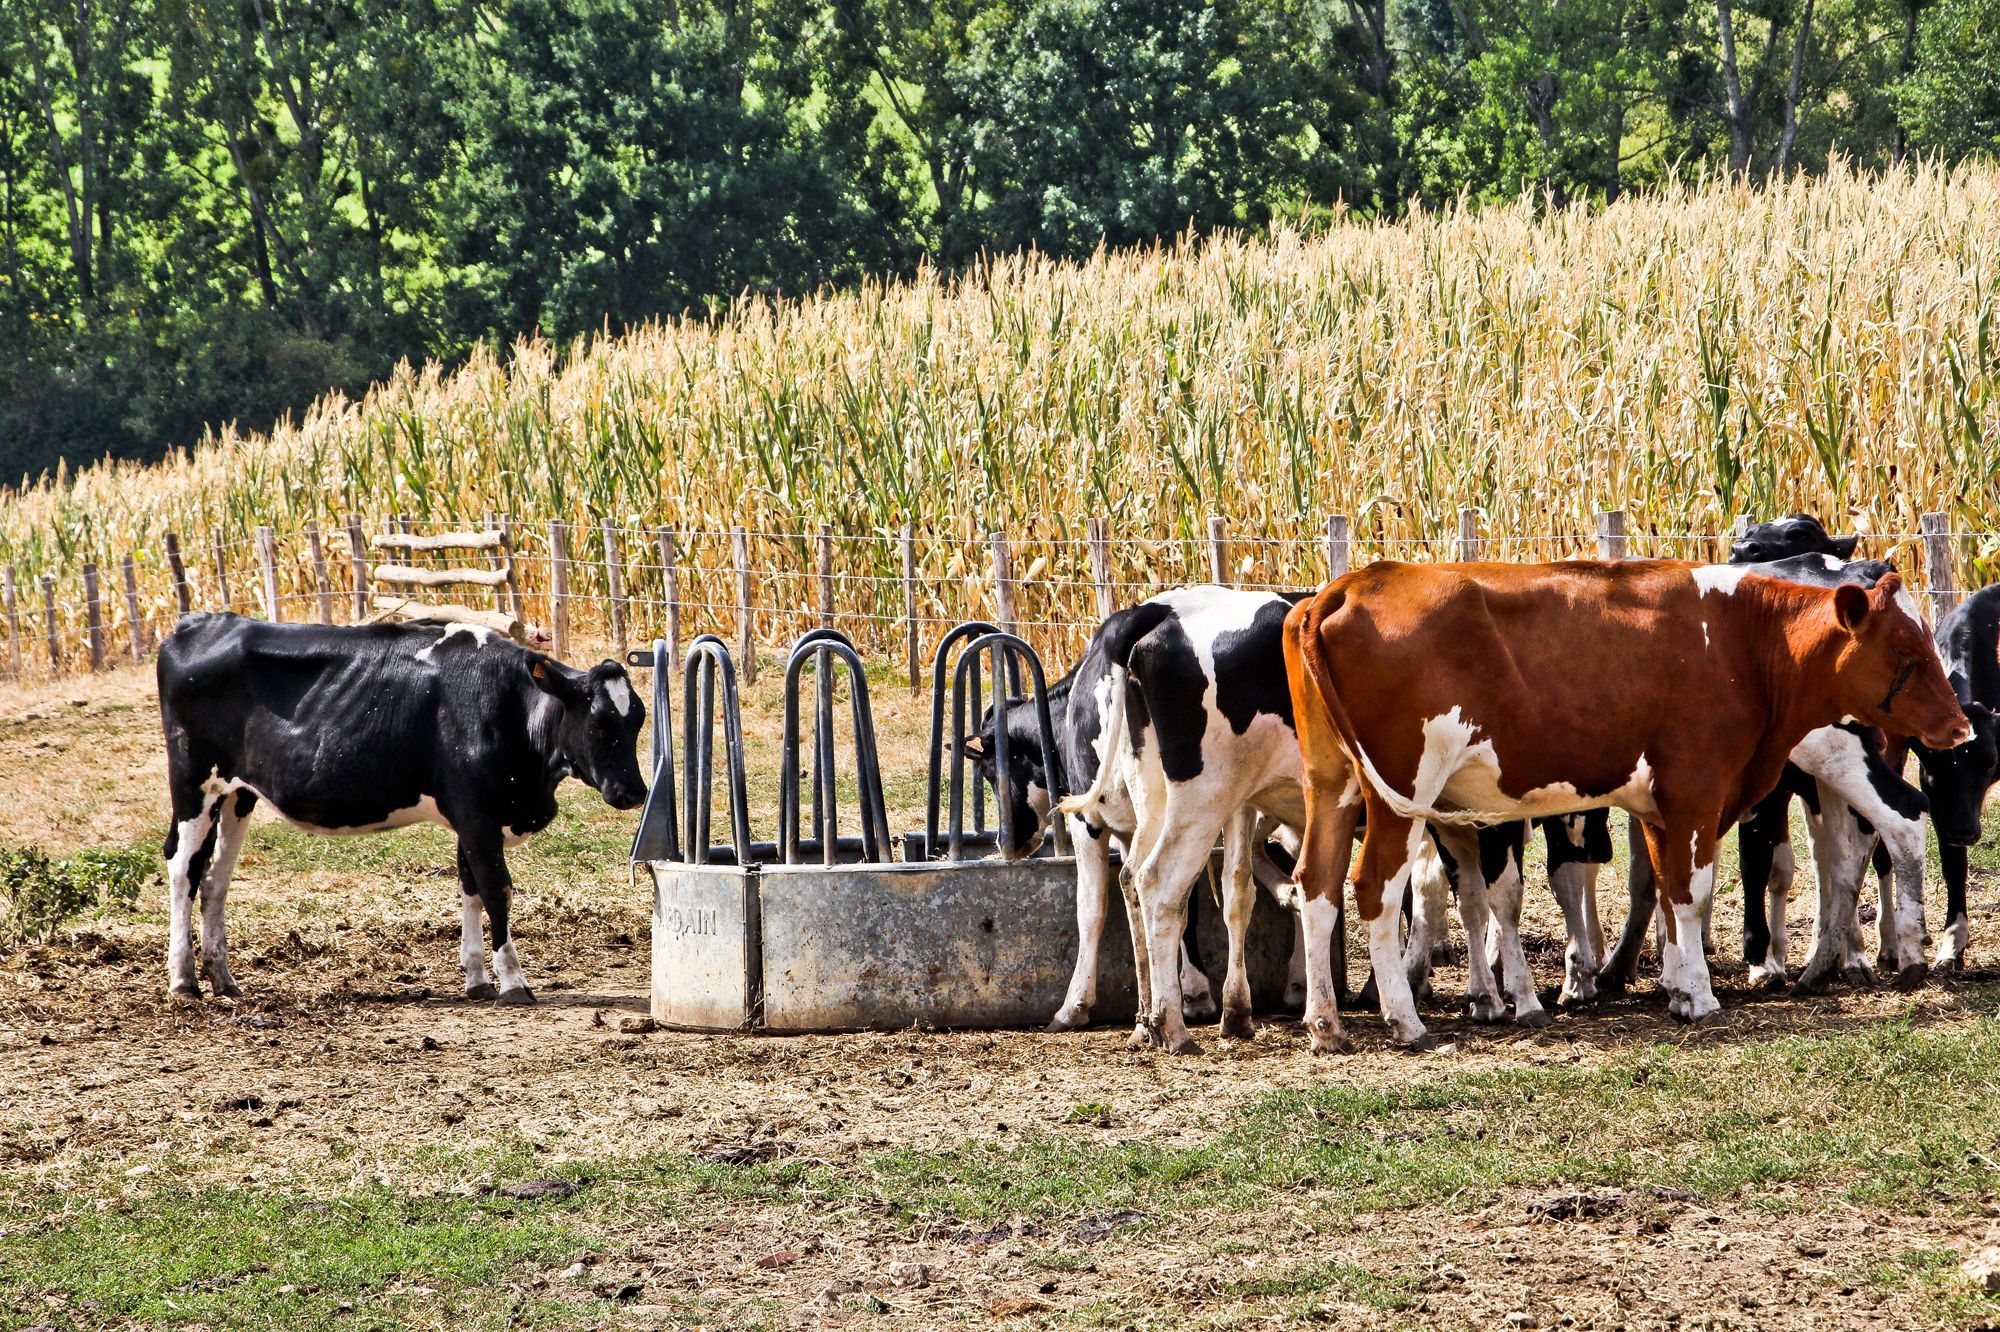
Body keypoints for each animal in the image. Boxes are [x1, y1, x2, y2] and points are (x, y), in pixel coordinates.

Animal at [158, 612, 640, 996]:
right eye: (599, 724)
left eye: (637, 721)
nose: (633, 791)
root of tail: (199, 622)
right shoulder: (479, 817)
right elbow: (496, 889)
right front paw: (513, 982)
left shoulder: (470, 817)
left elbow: (470, 887)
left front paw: (477, 980)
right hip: (193, 783)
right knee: (185, 869)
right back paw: (183, 981)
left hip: (236, 793)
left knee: (216, 879)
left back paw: (223, 979)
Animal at [1280, 556, 1968, 1048]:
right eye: (1905, 652)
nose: (1960, 726)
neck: (1746, 641)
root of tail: (1348, 584)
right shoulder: (1695, 791)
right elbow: (1689, 894)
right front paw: (1699, 995)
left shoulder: (1665, 806)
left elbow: (1667, 888)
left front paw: (1677, 988)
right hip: (1401, 793)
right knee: (1373, 886)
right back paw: (1404, 1019)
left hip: (1332, 784)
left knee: (1316, 883)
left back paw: (1326, 1024)